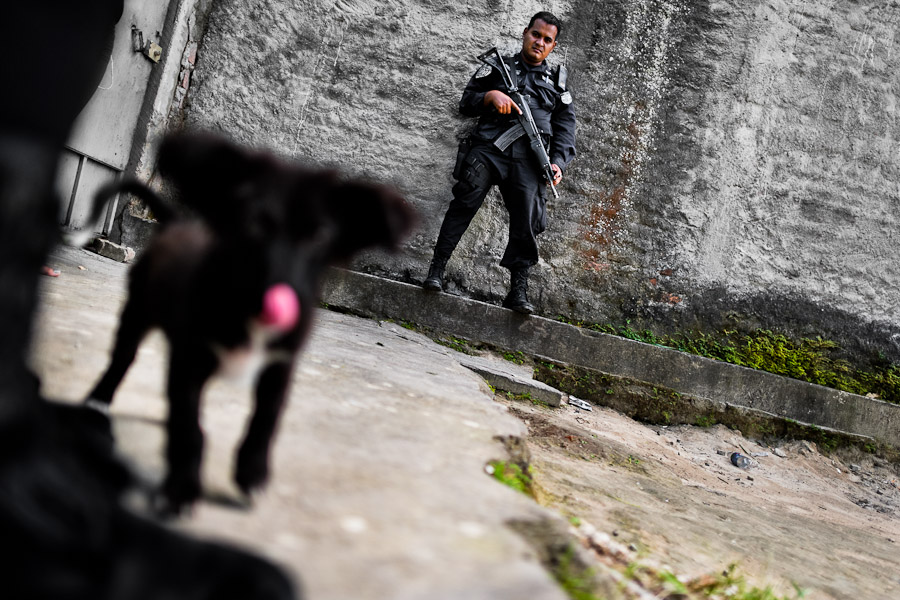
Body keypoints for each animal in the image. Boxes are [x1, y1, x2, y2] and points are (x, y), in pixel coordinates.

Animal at [84, 134, 414, 512]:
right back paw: (98, 401)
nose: (281, 299)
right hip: (138, 309)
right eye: (255, 222)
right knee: (122, 358)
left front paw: (252, 473)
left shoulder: (279, 368)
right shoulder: (190, 358)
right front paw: (181, 487)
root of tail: (177, 225)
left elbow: (264, 421)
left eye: (319, 236)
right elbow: (189, 426)